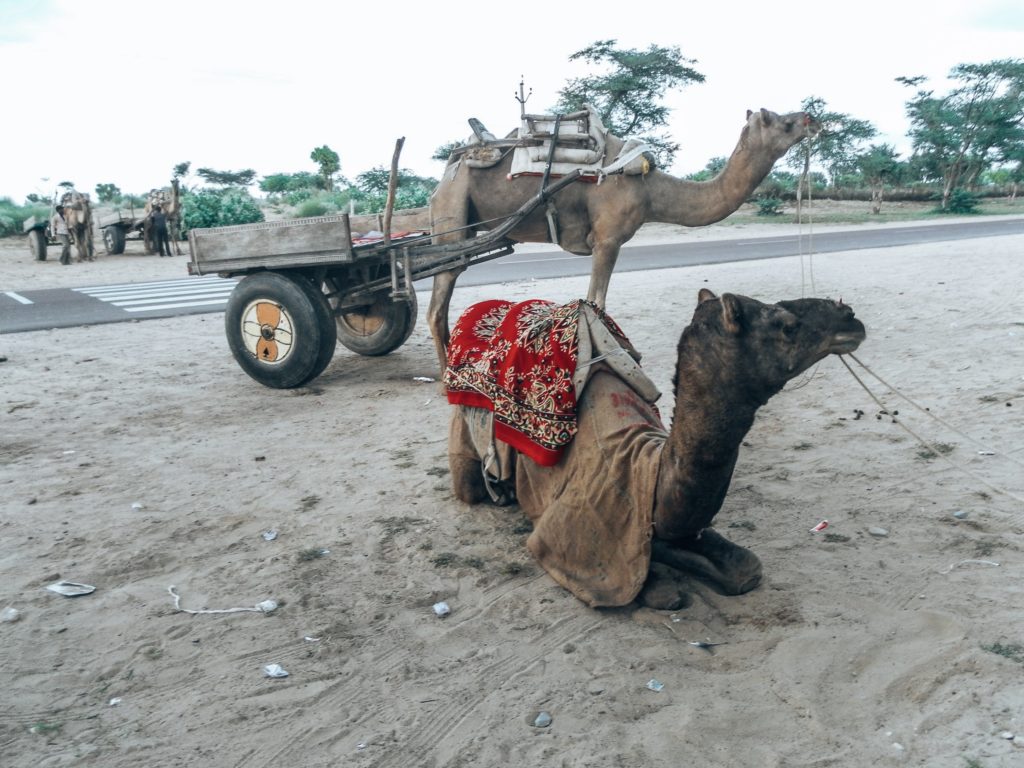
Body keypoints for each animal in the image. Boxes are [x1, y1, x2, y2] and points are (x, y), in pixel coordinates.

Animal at [425, 107, 823, 372]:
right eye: (785, 120)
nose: (813, 119)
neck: (649, 187)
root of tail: (447, 171)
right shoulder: (608, 238)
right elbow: (595, 302)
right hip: (453, 213)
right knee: (436, 304)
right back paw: (446, 374)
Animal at [448, 290, 864, 610]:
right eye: (787, 325)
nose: (851, 318)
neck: (645, 465)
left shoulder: (678, 522)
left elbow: (746, 568)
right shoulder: (571, 537)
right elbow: (657, 590)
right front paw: (660, 579)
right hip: (463, 438)